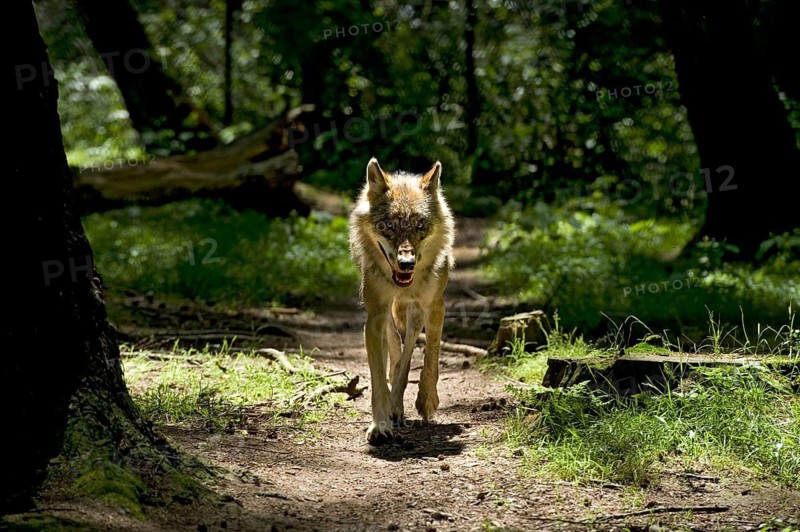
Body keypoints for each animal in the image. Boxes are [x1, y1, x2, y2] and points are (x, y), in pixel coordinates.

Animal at [349, 158, 456, 444]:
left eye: (420, 225)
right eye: (388, 225)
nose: (406, 264)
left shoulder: (435, 305)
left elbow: (429, 356)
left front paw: (427, 401)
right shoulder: (374, 315)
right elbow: (377, 375)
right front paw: (380, 424)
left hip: (415, 312)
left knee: (407, 351)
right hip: (387, 313)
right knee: (395, 347)